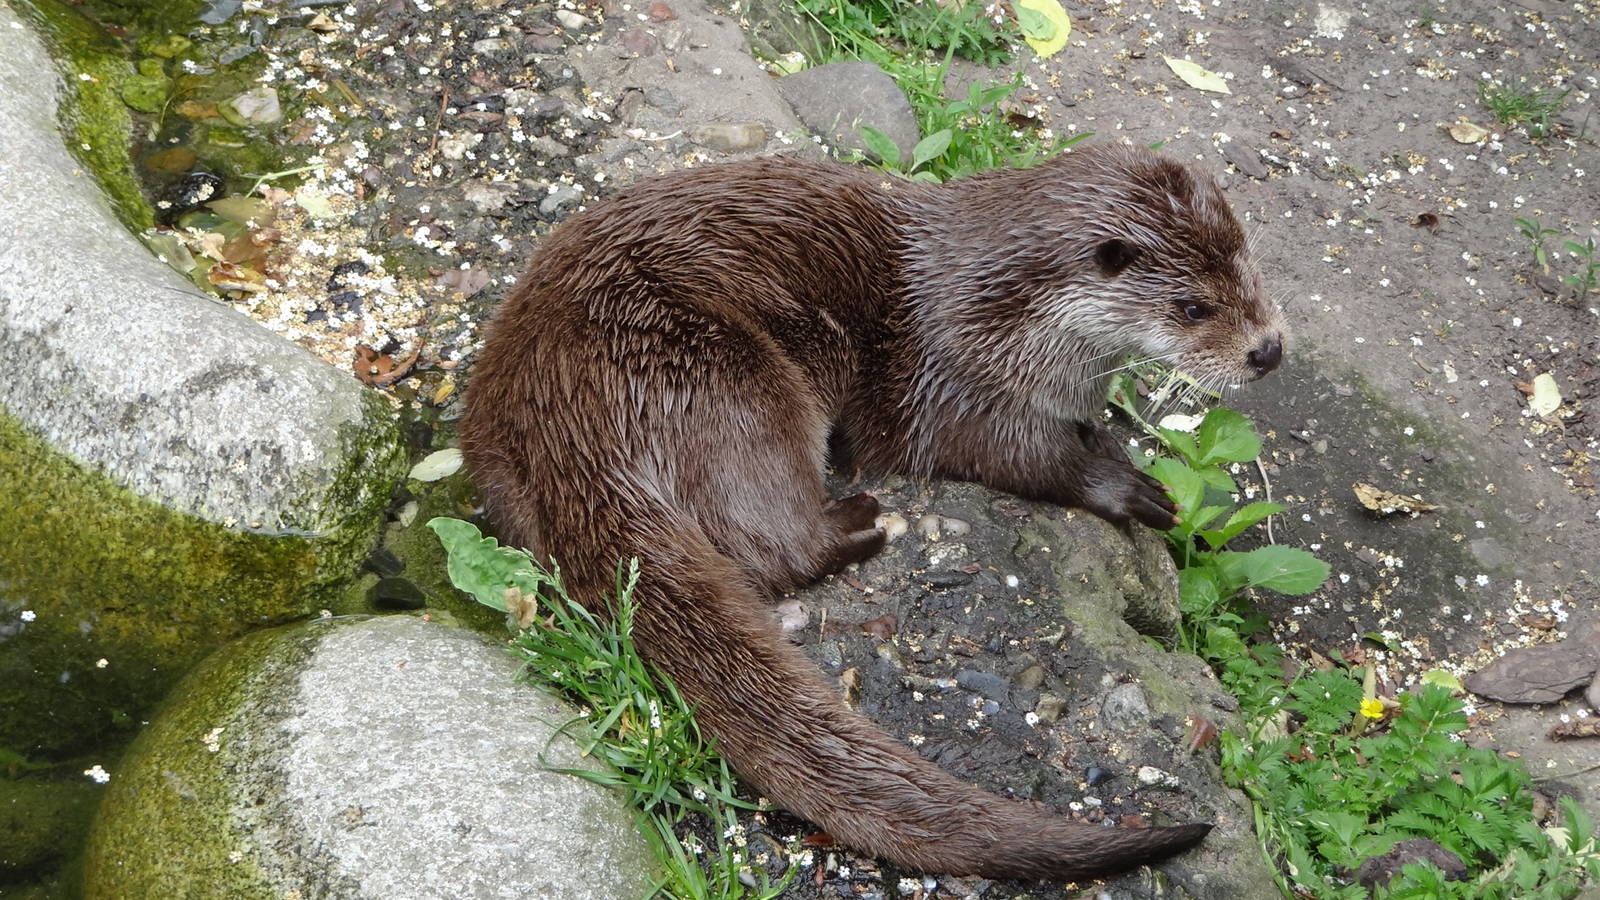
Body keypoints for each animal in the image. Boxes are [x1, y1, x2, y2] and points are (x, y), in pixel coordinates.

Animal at [460, 144, 1286, 882]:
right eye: (1192, 307)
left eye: (1254, 272)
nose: (1269, 351)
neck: (1018, 324)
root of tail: (568, 420)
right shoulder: (956, 380)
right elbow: (1018, 456)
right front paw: (1131, 487)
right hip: (724, 379)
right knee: (773, 547)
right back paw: (864, 521)